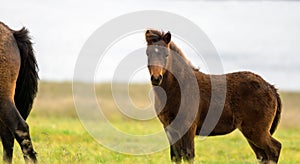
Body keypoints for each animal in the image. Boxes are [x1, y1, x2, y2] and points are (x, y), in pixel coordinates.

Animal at [145, 28, 282, 163]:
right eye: (147, 53)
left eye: (166, 54)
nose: (156, 78)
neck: (180, 87)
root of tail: (271, 88)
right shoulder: (170, 129)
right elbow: (176, 157)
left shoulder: (189, 128)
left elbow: (189, 155)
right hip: (251, 132)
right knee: (263, 156)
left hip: (256, 131)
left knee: (274, 149)